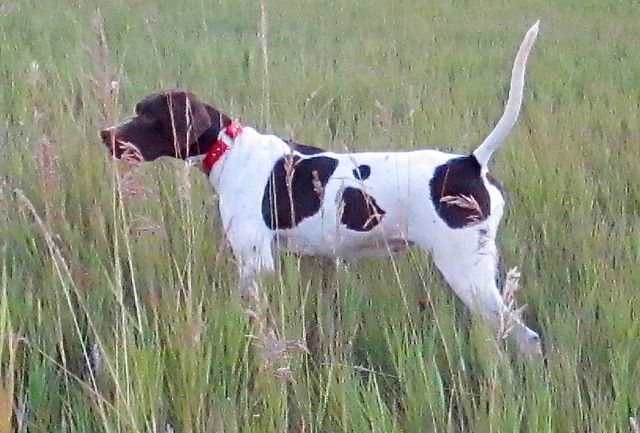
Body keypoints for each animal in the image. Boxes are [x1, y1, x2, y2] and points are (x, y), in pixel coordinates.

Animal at [102, 21, 544, 354]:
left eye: (147, 116)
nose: (105, 134)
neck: (229, 150)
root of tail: (469, 162)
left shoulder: (255, 262)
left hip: (467, 271)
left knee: (526, 338)